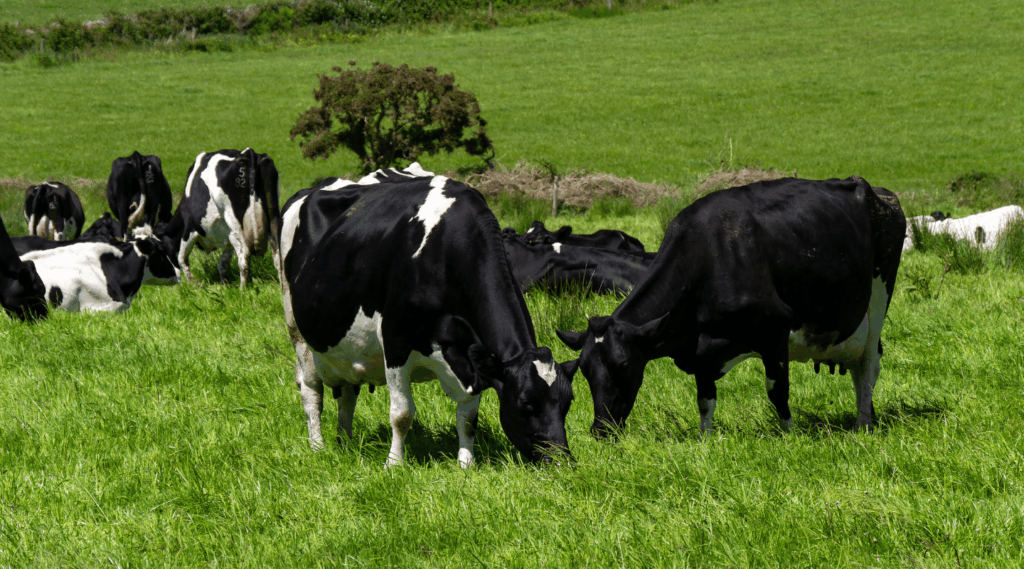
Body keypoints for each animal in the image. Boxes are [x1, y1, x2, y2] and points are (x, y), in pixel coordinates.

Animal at [158, 148, 280, 288]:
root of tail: (249, 154)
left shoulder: (190, 228)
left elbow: (182, 258)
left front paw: (195, 284)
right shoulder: (228, 237)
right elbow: (223, 263)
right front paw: (224, 284)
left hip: (236, 224)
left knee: (244, 257)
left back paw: (242, 289)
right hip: (273, 216)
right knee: (278, 256)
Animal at [281, 164, 577, 467]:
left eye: (568, 402)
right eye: (526, 403)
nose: (561, 460)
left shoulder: (471, 356)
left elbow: (468, 418)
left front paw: (466, 464)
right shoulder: (395, 340)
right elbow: (401, 413)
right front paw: (394, 464)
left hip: (347, 349)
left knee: (348, 394)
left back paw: (346, 443)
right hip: (296, 329)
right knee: (311, 391)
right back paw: (317, 447)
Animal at [557, 177, 905, 438]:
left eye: (624, 363)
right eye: (584, 369)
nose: (600, 430)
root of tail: (879, 191)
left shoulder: (776, 328)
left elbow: (777, 389)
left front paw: (789, 436)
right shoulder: (699, 348)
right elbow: (704, 399)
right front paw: (706, 438)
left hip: (877, 301)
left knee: (867, 368)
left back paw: (863, 424)